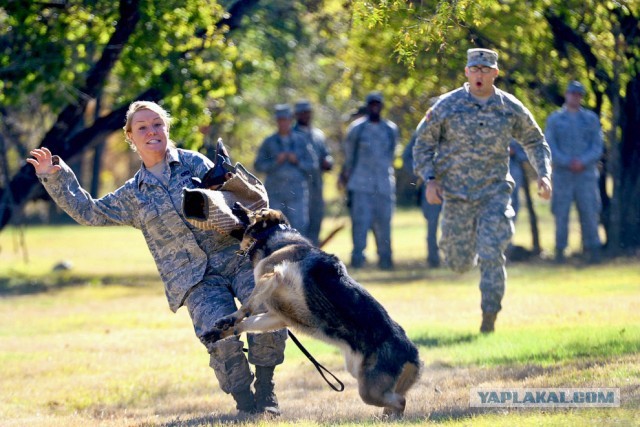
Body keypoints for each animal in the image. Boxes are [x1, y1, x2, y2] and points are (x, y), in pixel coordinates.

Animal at [205, 206, 422, 416]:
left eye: (251, 212)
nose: (234, 204)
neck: (275, 236)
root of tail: (414, 354)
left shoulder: (272, 276)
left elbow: (247, 306)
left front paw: (229, 319)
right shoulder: (276, 317)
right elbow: (247, 323)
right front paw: (220, 331)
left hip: (369, 391)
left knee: (400, 401)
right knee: (396, 400)